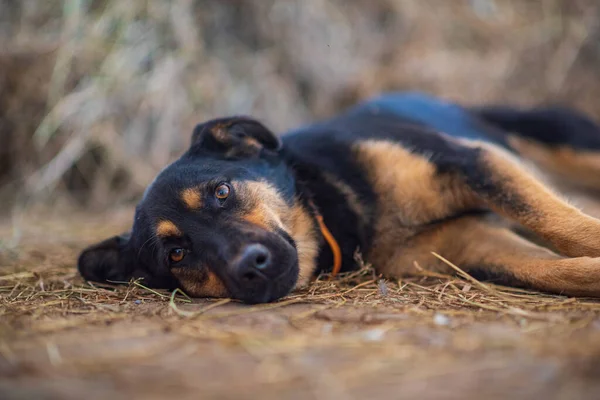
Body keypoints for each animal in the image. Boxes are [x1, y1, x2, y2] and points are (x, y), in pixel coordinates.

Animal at [76, 90, 600, 304]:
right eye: (176, 254)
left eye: (221, 192)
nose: (251, 266)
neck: (331, 204)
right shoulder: (464, 243)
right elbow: (552, 270)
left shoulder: (472, 163)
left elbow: (560, 222)